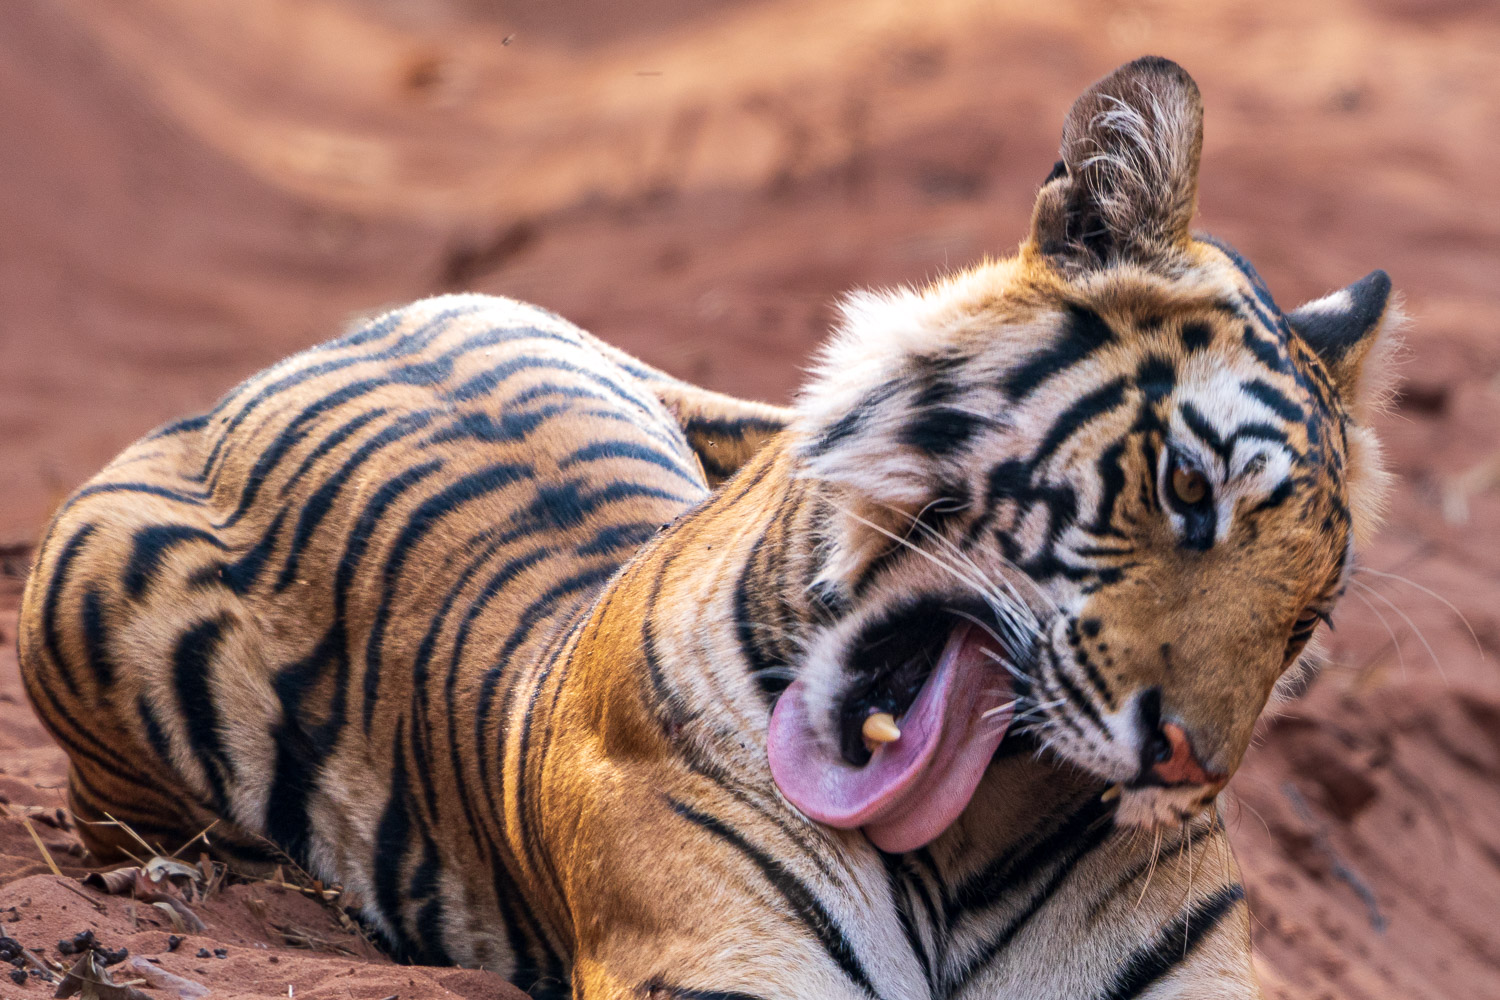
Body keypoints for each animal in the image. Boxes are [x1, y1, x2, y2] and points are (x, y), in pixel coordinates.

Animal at [18, 56, 1399, 999]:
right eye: (1188, 487)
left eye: (1305, 622)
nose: (1187, 763)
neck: (968, 835)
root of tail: (328, 343)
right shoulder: (721, 961)